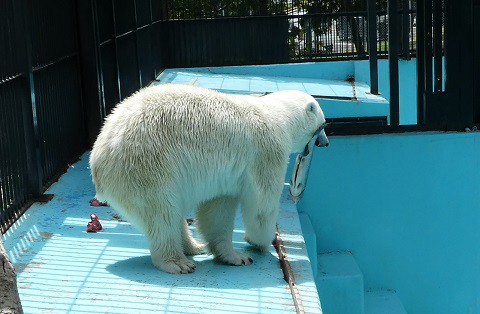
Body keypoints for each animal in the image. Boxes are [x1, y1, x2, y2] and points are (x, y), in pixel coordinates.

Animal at [89, 84, 328, 274]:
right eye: (323, 126)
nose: (325, 143)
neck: (278, 115)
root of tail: (98, 157)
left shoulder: (226, 176)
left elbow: (218, 209)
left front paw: (235, 256)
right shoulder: (266, 151)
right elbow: (262, 205)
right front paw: (260, 243)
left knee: (170, 213)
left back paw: (194, 246)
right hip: (146, 166)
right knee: (161, 212)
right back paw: (178, 262)